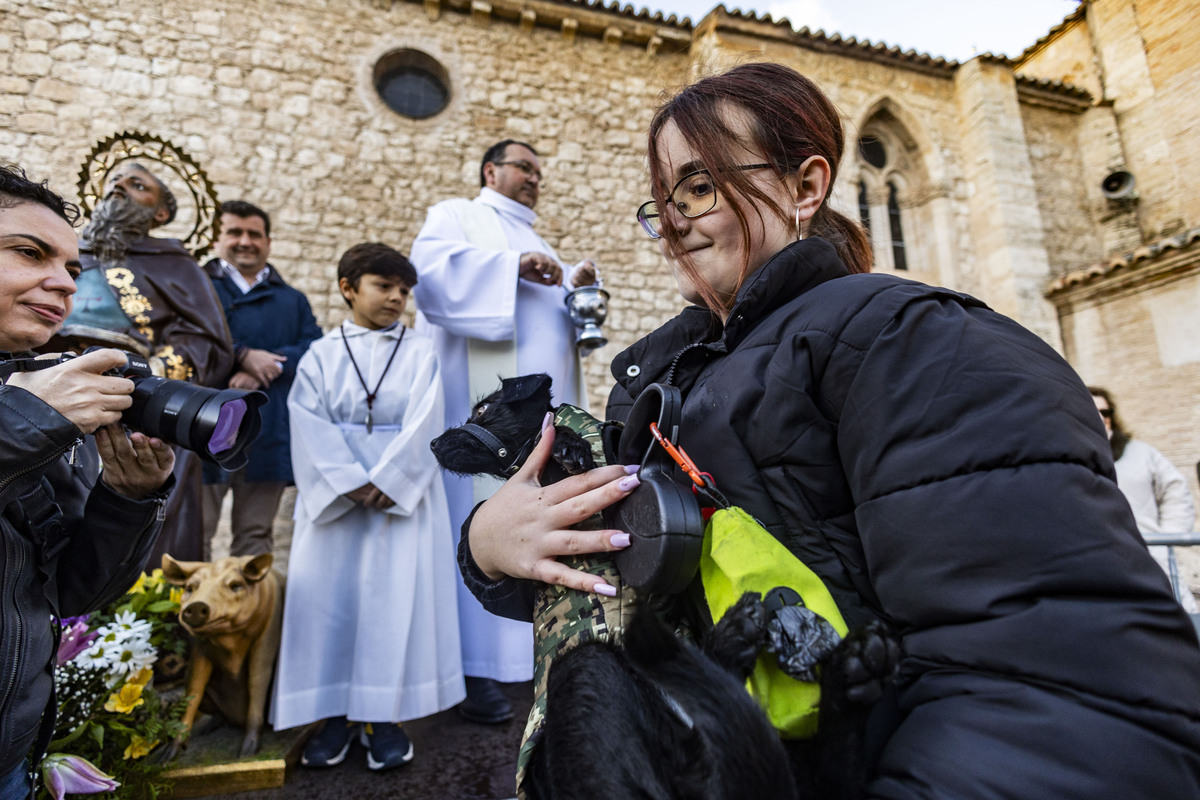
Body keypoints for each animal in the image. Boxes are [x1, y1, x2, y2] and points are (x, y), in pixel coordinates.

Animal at [432, 376, 902, 800]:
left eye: (483, 410)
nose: (434, 444)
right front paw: (570, 447)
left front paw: (570, 445)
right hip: (589, 671)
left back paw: (853, 670)